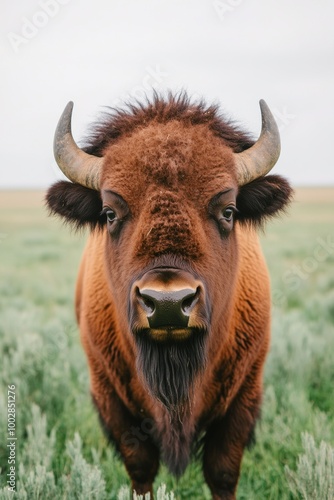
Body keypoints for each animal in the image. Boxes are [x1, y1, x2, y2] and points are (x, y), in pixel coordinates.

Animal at [46, 93, 292, 496]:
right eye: (109, 213)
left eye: (228, 210)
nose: (167, 304)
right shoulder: (111, 397)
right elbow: (140, 467)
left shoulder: (243, 395)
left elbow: (222, 471)